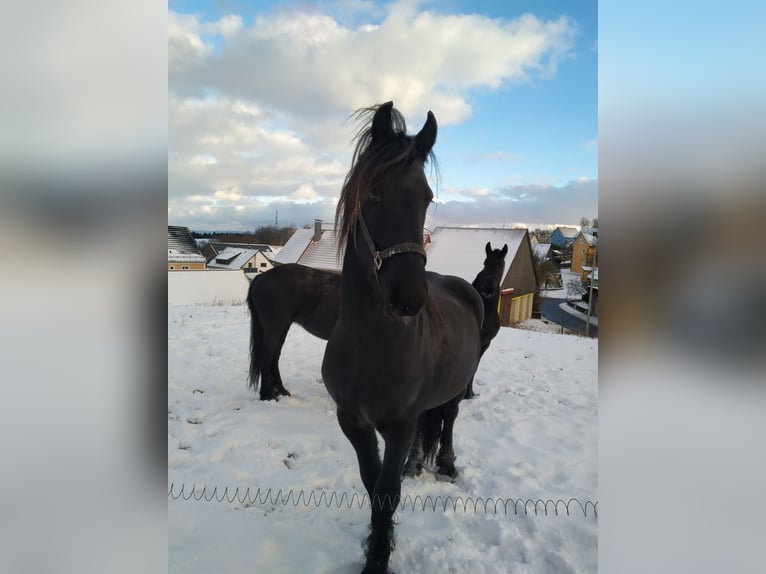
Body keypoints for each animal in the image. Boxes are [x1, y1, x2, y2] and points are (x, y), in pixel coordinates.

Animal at [246, 263, 340, 401]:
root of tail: (260, 277)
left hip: (283, 328)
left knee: (274, 357)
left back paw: (280, 390)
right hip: (273, 330)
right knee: (266, 356)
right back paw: (267, 395)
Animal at [321, 102, 484, 574]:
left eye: (426, 197)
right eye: (373, 194)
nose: (409, 298)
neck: (370, 346)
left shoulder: (398, 426)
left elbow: (386, 492)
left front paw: (379, 557)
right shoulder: (352, 421)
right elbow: (372, 481)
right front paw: (377, 544)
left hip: (455, 391)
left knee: (448, 423)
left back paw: (446, 464)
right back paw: (417, 465)